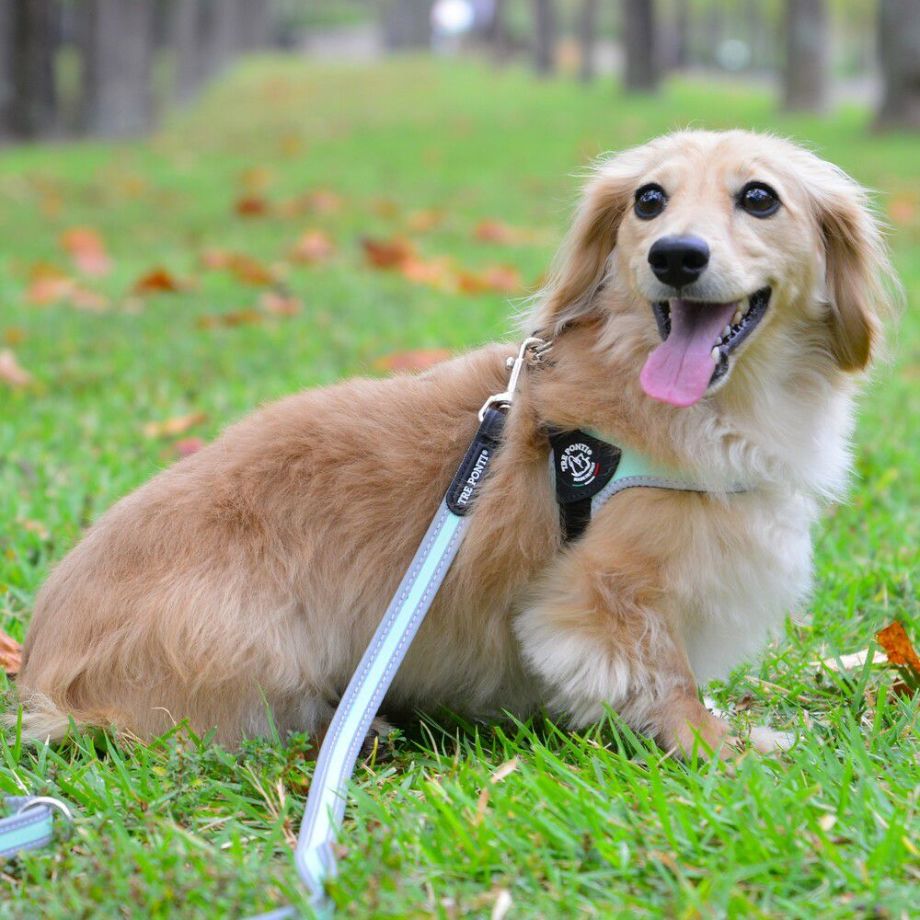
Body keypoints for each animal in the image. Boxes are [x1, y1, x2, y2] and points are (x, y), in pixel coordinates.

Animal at [16, 130, 897, 756]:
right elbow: (666, 679)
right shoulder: (603, 597)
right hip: (259, 647)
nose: (675, 256)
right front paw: (722, 749)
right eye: (649, 200)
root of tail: (43, 680)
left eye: (760, 198)